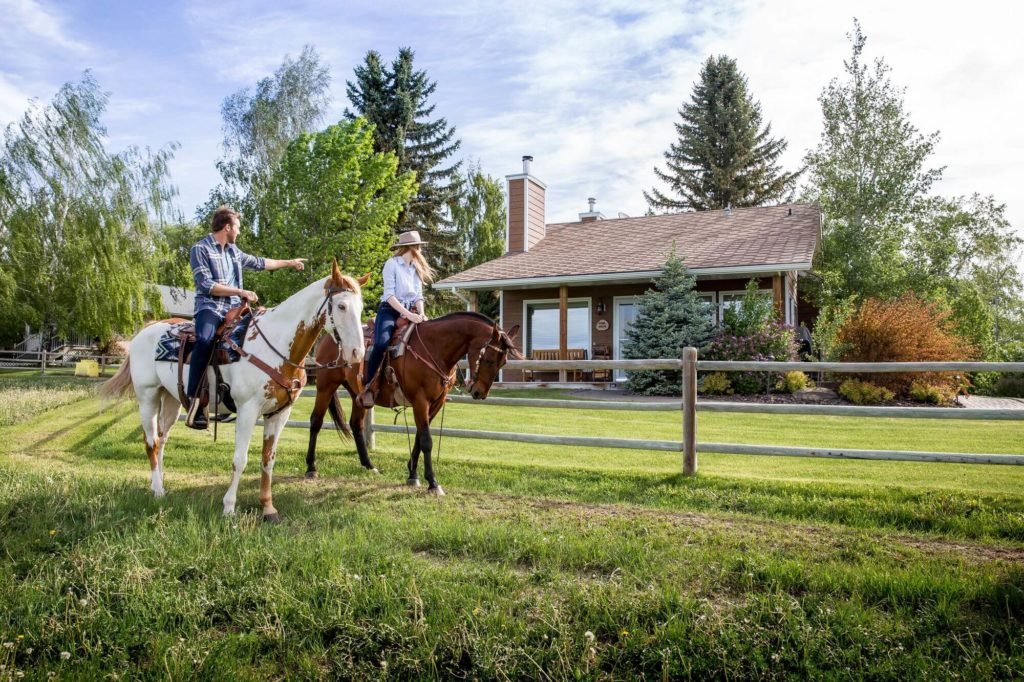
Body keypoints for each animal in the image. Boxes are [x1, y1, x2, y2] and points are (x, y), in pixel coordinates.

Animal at [102, 261, 368, 520]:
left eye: (361, 307)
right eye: (341, 306)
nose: (358, 353)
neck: (274, 346)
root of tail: (148, 328)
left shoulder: (279, 414)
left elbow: (268, 460)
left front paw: (268, 508)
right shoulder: (248, 410)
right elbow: (240, 460)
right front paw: (229, 508)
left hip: (171, 400)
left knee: (162, 439)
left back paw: (159, 483)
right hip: (147, 397)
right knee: (151, 442)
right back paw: (157, 490)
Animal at [301, 309, 516, 493]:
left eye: (503, 362)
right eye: (488, 359)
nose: (480, 393)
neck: (434, 347)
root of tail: (329, 337)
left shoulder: (436, 403)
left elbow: (420, 437)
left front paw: (413, 474)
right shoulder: (420, 400)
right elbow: (426, 440)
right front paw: (433, 482)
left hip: (358, 394)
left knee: (356, 424)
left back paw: (369, 465)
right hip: (326, 386)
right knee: (316, 421)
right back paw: (311, 467)